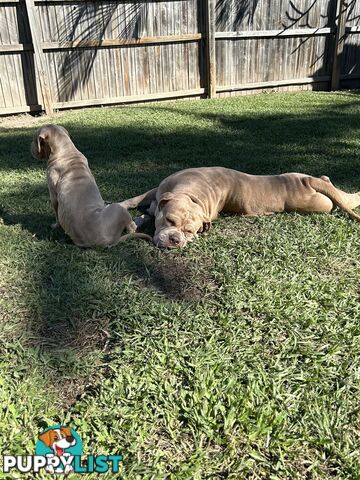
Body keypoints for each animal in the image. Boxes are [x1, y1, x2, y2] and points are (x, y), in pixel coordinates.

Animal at [121, 166, 360, 249]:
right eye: (170, 221)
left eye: (190, 232)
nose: (175, 239)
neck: (190, 192)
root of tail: (306, 181)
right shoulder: (155, 192)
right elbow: (132, 202)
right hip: (309, 181)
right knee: (333, 186)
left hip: (321, 205)